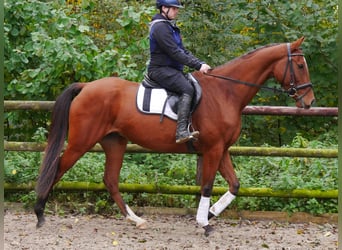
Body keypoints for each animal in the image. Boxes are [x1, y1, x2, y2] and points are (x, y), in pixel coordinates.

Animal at [34, 37, 316, 236]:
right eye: (300, 65)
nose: (310, 102)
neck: (225, 92)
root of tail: (86, 87)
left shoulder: (222, 149)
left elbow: (235, 185)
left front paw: (210, 214)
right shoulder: (213, 149)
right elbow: (207, 185)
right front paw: (204, 222)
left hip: (115, 142)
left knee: (110, 180)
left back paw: (136, 220)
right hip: (81, 142)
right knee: (57, 168)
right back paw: (39, 214)